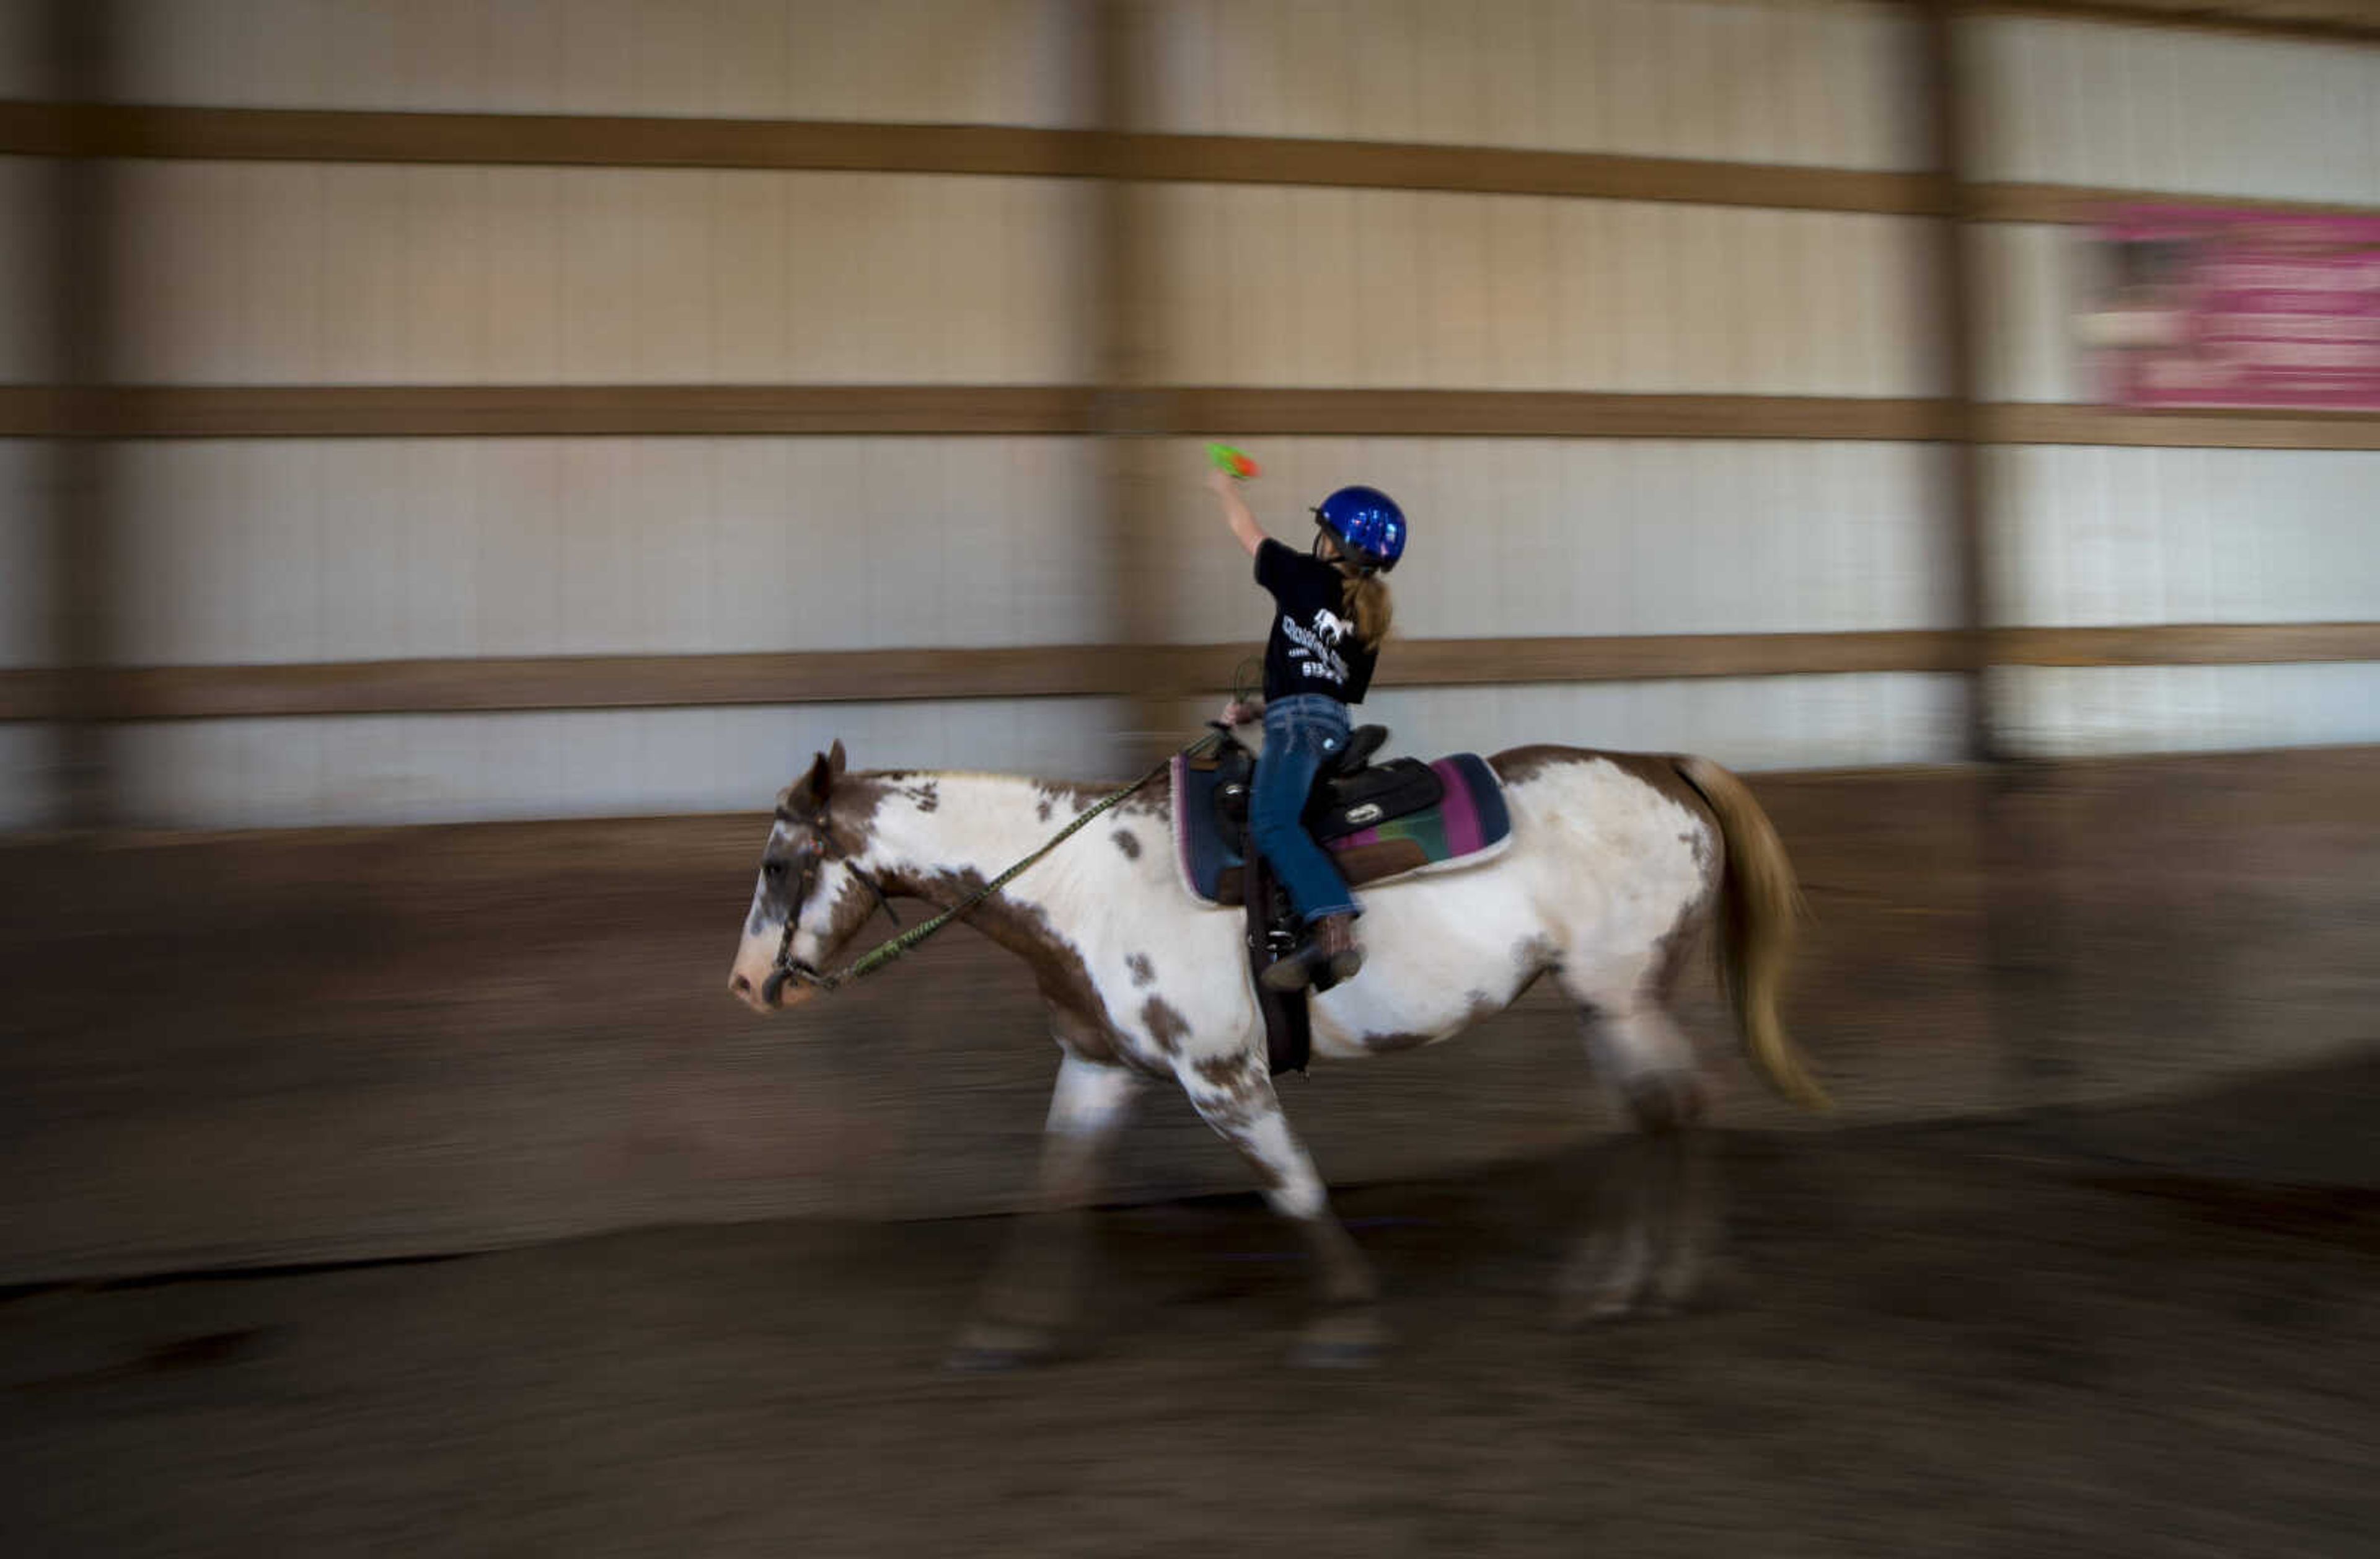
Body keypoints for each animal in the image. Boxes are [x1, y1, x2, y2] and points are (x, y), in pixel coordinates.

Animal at [723, 733, 1818, 1371]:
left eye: (779, 863)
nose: (744, 984)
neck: (1085, 883)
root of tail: (1662, 763)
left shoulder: (1221, 1077)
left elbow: (1292, 1185)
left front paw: (1348, 1313)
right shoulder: (1101, 1067)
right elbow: (1055, 1185)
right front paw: (1005, 1326)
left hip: (1617, 992)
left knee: (1670, 1107)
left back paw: (1636, 1283)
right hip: (1610, 1000)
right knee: (1659, 1111)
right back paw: (1628, 1280)